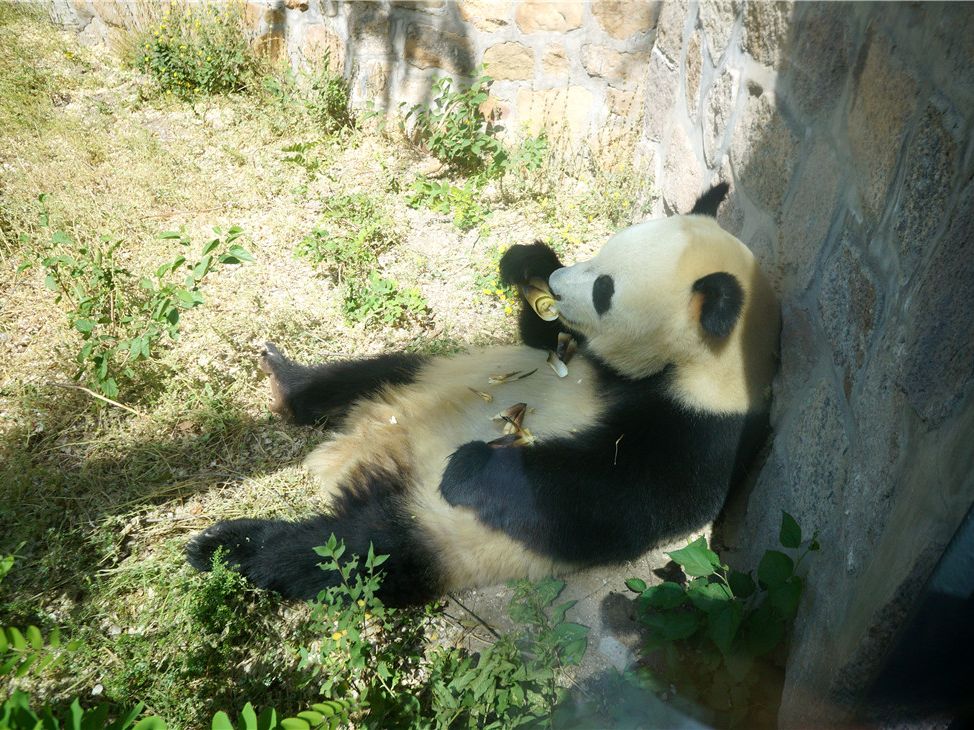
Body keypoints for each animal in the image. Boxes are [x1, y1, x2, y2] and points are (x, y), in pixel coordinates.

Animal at [186, 184, 780, 607]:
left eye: (604, 289)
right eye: (603, 252)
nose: (559, 284)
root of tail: (358, 459)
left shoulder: (703, 433)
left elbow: (606, 495)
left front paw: (469, 467)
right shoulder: (584, 356)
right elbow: (541, 340)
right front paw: (529, 261)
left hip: (438, 533)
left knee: (344, 554)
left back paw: (226, 546)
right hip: (428, 370)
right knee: (364, 375)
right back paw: (285, 383)